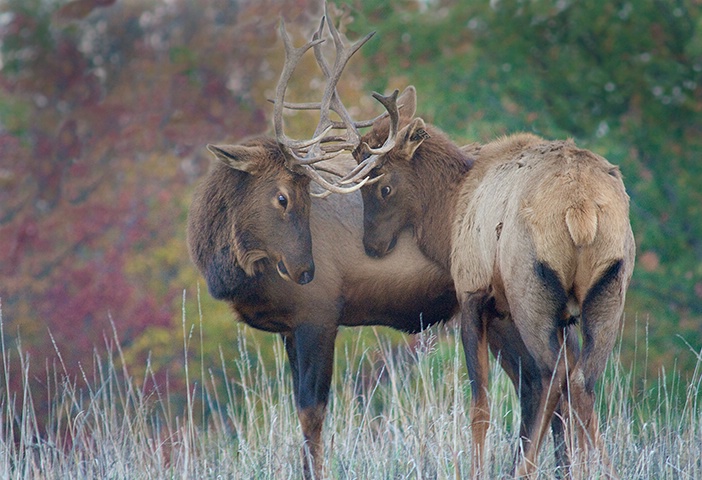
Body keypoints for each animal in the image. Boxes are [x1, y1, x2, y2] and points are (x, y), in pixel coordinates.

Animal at [352, 88, 640, 478]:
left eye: (383, 186)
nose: (372, 245)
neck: (448, 212)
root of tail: (579, 210)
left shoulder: (473, 294)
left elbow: (480, 405)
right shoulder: (555, 316)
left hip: (530, 293)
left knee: (553, 375)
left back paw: (526, 470)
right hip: (608, 291)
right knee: (582, 380)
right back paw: (604, 469)